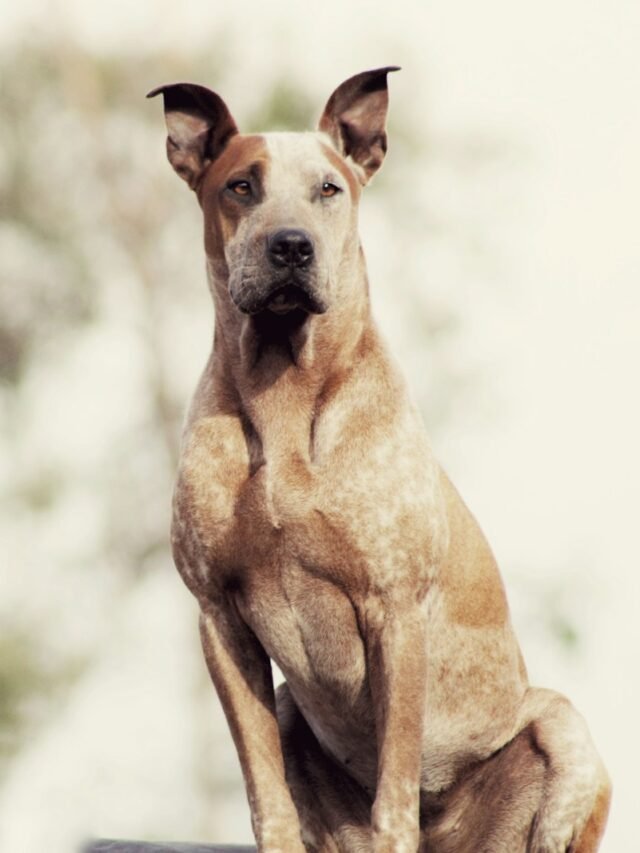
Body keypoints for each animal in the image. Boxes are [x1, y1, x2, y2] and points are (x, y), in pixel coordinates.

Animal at [149, 68, 608, 852]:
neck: (285, 389)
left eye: (329, 188)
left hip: (568, 735)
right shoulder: (219, 618)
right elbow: (266, 795)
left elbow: (394, 792)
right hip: (289, 707)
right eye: (240, 185)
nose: (291, 247)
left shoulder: (393, 610)